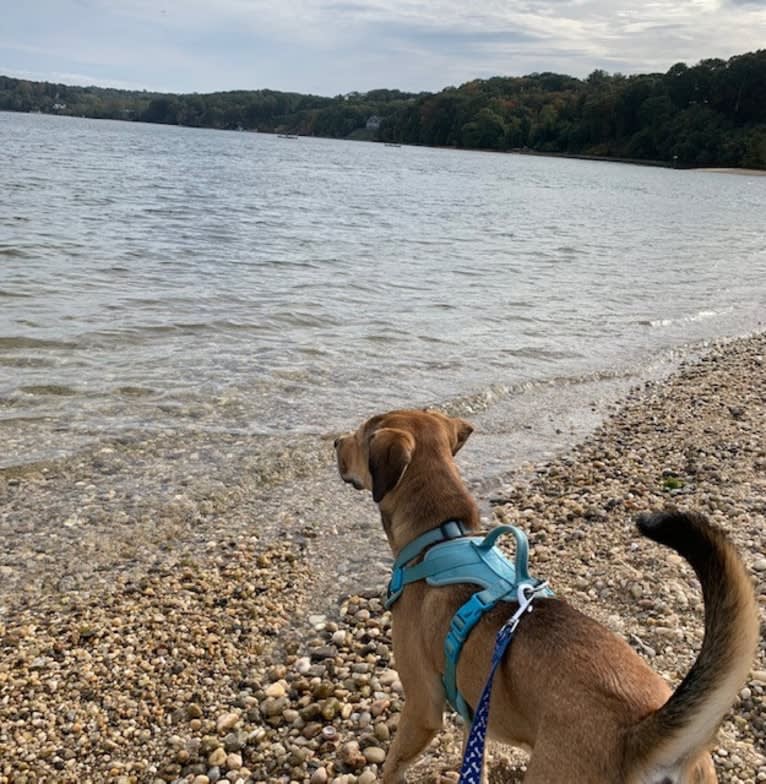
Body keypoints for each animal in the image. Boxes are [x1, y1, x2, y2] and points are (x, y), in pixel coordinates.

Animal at [336, 410, 760, 784]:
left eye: (363, 435)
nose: (336, 442)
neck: (440, 535)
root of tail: (640, 736)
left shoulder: (422, 707)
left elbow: (393, 763)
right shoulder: (475, 716)